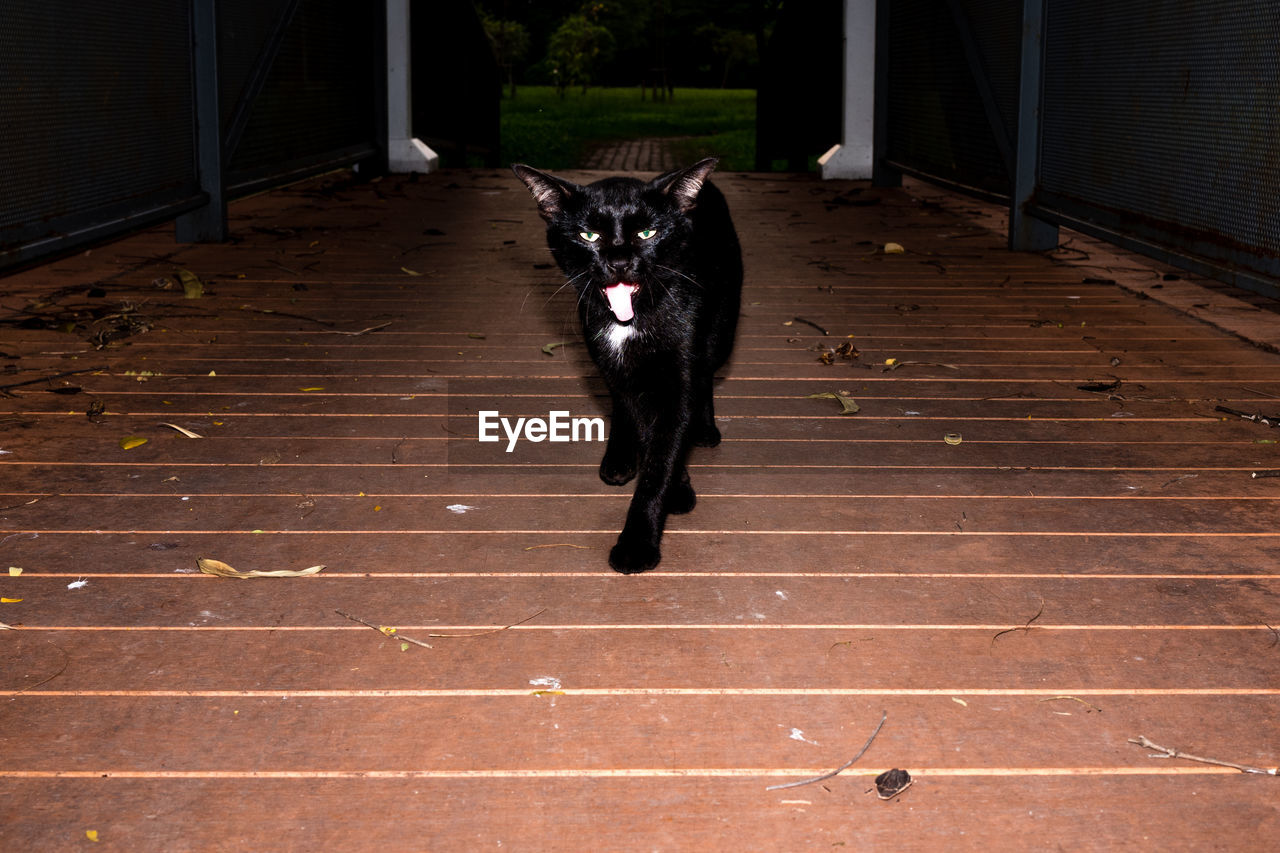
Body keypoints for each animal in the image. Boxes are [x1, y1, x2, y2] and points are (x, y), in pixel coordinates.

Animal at [514, 159, 747, 571]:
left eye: (646, 232)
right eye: (588, 235)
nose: (620, 261)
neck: (630, 321)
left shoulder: (680, 376)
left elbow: (663, 454)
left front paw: (638, 543)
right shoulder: (614, 361)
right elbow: (645, 429)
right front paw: (673, 487)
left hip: (722, 327)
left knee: (706, 372)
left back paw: (704, 428)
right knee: (620, 399)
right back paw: (620, 457)